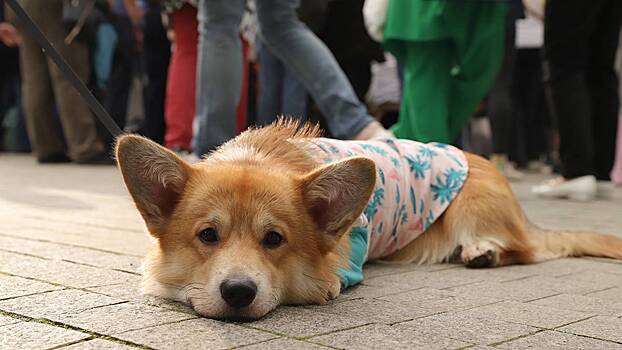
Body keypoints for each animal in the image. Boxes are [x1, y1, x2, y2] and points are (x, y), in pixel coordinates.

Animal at [116, 120, 622, 320]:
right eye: (207, 235)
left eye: (274, 239)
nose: (238, 292)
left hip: (471, 209)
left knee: (525, 250)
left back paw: (483, 252)